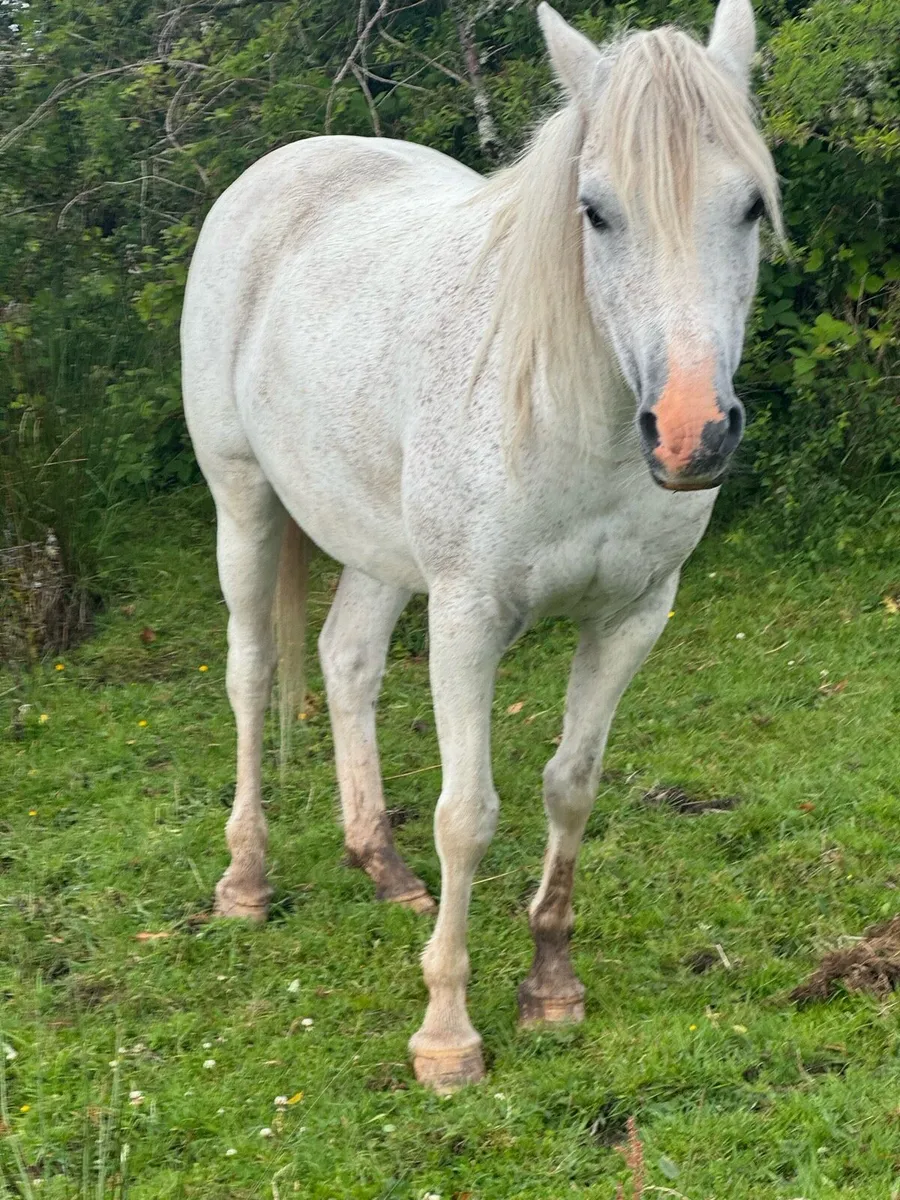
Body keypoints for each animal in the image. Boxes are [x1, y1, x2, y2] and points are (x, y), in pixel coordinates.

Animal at [181, 0, 781, 1092]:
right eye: (596, 211)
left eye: (751, 205)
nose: (690, 435)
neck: (570, 409)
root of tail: (280, 168)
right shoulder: (468, 618)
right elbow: (469, 814)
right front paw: (447, 1035)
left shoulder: (634, 617)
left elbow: (570, 789)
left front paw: (552, 985)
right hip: (241, 501)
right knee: (251, 674)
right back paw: (246, 880)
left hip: (377, 546)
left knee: (345, 660)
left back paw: (380, 864)